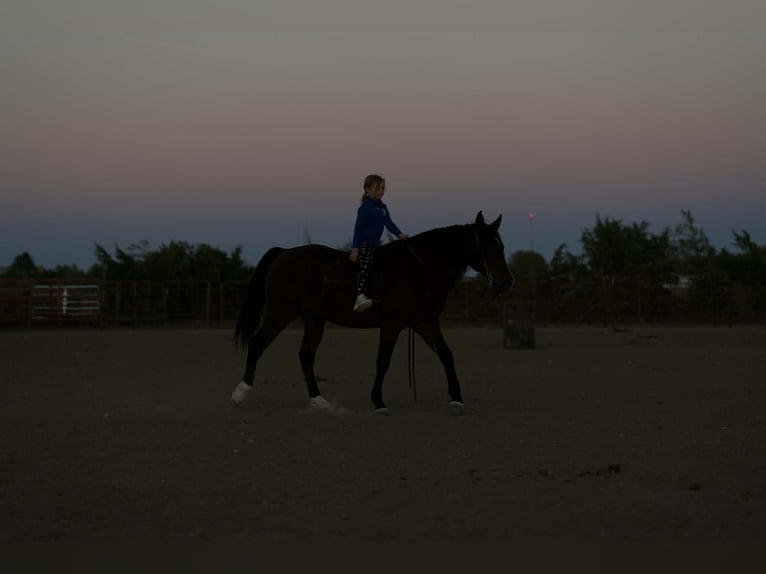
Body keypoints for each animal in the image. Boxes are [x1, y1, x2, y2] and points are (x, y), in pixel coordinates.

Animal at [230, 211, 514, 415]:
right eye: (486, 247)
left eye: (501, 246)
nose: (506, 282)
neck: (418, 270)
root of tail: (284, 253)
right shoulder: (392, 324)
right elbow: (383, 361)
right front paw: (378, 402)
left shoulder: (425, 322)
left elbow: (446, 354)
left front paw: (456, 400)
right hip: (279, 313)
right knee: (257, 344)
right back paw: (240, 393)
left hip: (314, 320)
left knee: (305, 356)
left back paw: (319, 402)